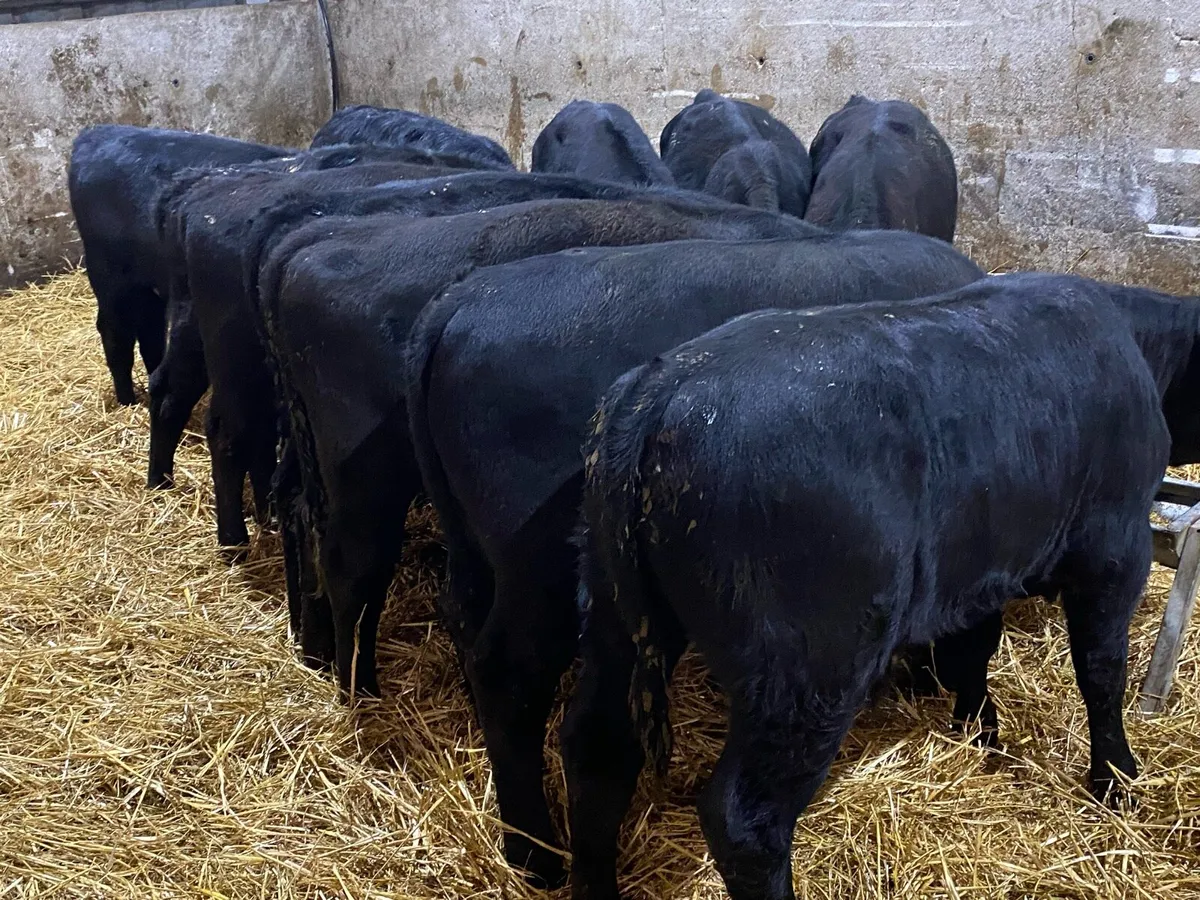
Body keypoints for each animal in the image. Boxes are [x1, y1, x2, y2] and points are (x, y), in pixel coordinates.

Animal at [67, 124, 289, 405]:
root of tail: (97, 131)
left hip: (148, 284)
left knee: (150, 332)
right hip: (110, 275)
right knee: (116, 333)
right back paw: (127, 400)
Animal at [253, 195, 819, 702]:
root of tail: (308, 245)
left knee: (304, 514)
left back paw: (315, 650)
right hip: (367, 472)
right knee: (354, 563)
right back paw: (361, 688)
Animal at [404, 232, 984, 884]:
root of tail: (454, 306)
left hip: (477, 539)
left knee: (467, 615)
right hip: (536, 562)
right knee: (510, 675)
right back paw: (537, 858)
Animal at [564, 273, 1200, 900]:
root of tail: (663, 385)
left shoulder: (980, 563)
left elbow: (975, 647)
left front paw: (979, 732)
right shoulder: (1114, 548)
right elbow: (1101, 669)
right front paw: (1116, 778)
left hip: (612, 617)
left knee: (594, 749)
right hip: (809, 666)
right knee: (744, 819)